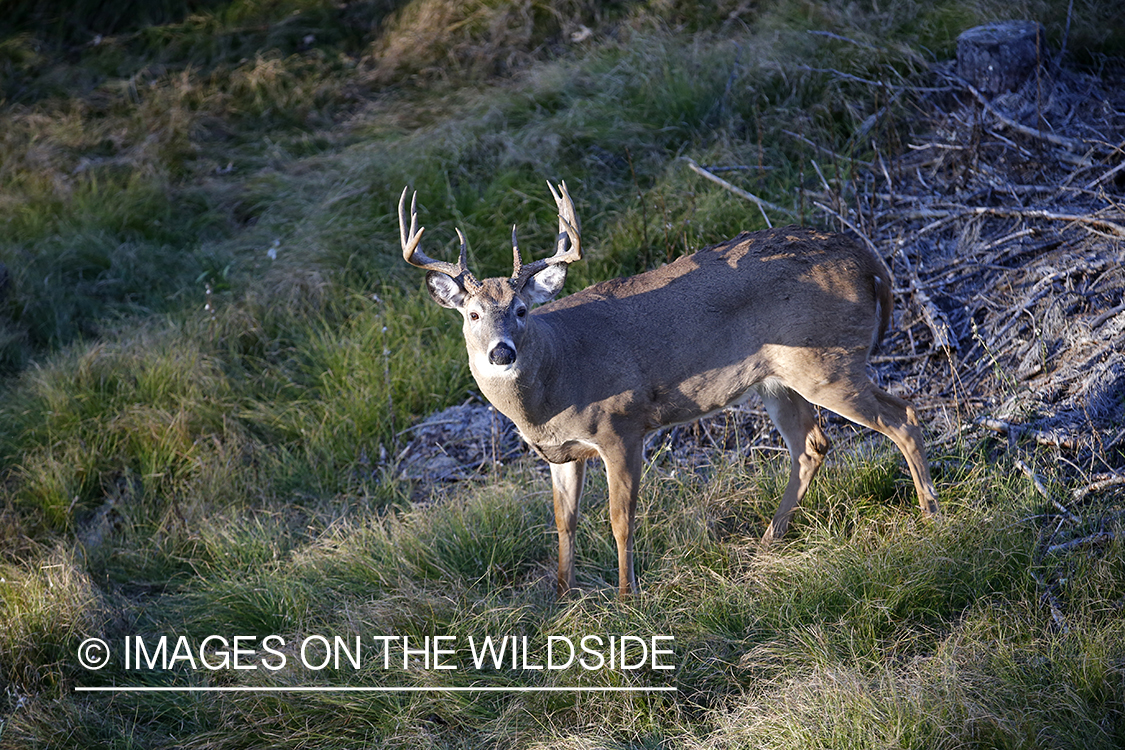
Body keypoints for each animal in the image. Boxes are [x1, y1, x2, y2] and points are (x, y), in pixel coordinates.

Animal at [398, 182, 940, 598]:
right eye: (472, 314)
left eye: (522, 310)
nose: (502, 352)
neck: (554, 386)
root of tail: (868, 260)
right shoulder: (561, 453)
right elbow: (563, 521)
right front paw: (562, 598)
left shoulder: (621, 425)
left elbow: (620, 518)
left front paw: (626, 597)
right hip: (779, 380)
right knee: (812, 444)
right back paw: (769, 540)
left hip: (828, 360)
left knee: (903, 417)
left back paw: (931, 518)